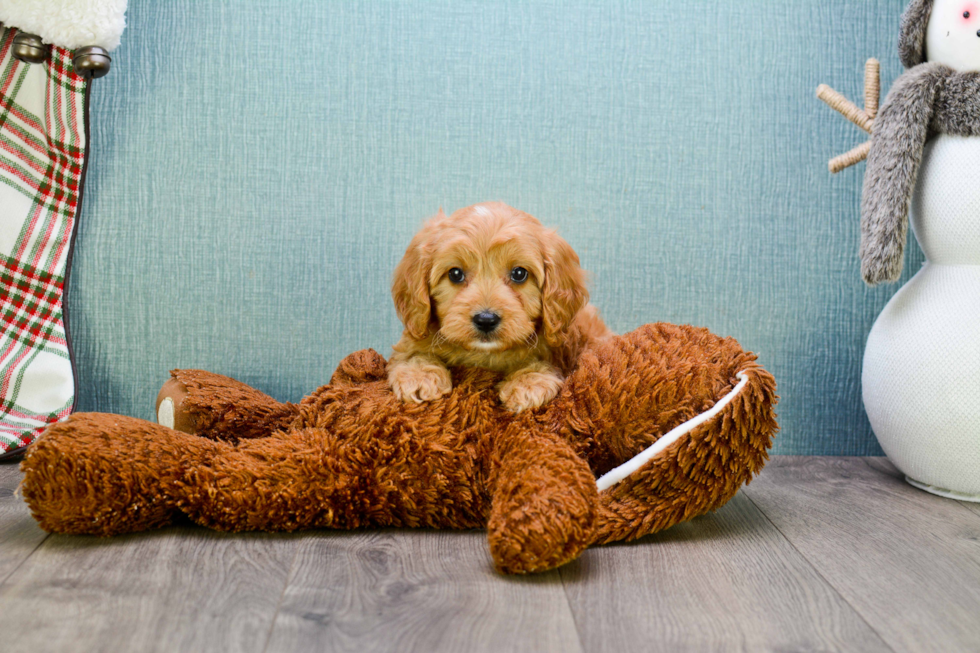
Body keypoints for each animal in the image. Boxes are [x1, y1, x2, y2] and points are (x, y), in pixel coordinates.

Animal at [386, 201, 608, 410]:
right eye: (455, 274)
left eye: (519, 274)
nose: (486, 320)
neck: (484, 355)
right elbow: (411, 354)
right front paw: (418, 375)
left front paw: (528, 383)